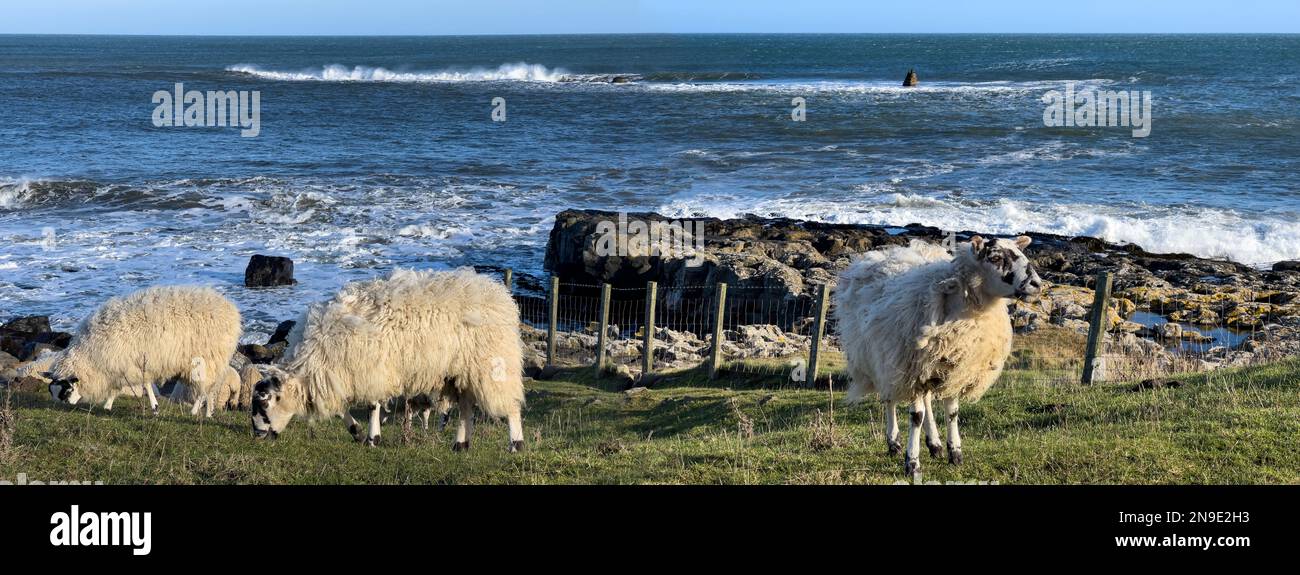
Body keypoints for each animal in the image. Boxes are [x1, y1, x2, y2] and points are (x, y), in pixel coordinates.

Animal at [43, 285, 242, 417]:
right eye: (51, 392)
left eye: (66, 390)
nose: (58, 410)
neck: (90, 354)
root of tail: (231, 309)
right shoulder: (126, 365)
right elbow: (126, 386)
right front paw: (109, 405)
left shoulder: (131, 363)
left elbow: (141, 385)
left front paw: (153, 406)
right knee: (208, 387)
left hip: (208, 360)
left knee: (207, 389)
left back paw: (202, 412)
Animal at [250, 268, 527, 452]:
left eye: (264, 404)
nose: (257, 435)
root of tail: (498, 292)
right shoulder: (339, 374)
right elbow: (342, 410)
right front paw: (357, 432)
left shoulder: (370, 369)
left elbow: (372, 406)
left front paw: (372, 438)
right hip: (460, 371)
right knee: (466, 406)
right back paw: (461, 444)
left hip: (493, 362)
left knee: (510, 403)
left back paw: (516, 444)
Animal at [834, 236, 1042, 476]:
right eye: (996, 257)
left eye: (1021, 252)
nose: (1037, 284)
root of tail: (880, 255)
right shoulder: (911, 370)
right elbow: (916, 416)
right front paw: (912, 463)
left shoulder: (955, 369)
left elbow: (951, 413)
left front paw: (955, 454)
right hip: (881, 360)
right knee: (889, 400)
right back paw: (894, 442)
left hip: (927, 367)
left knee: (926, 401)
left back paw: (934, 443)